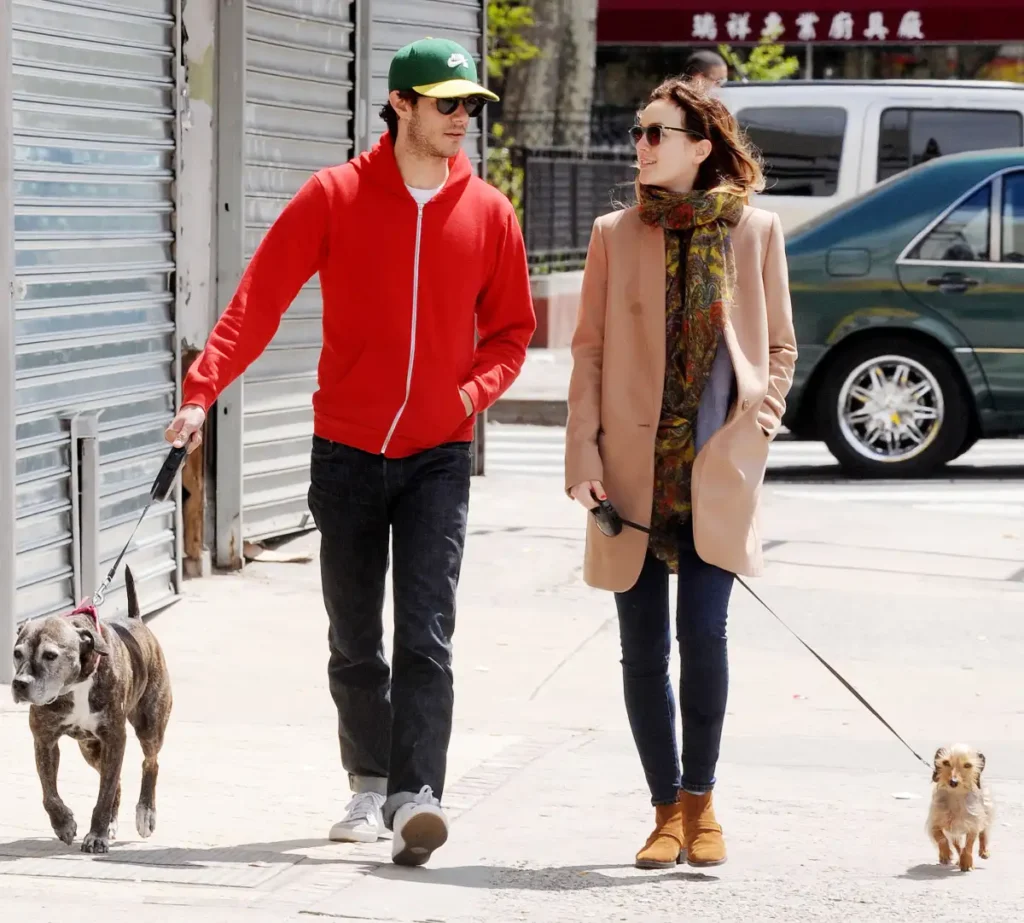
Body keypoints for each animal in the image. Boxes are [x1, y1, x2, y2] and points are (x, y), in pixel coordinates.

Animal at [12, 565, 173, 852]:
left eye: (50, 655)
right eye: (17, 653)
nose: (20, 684)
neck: (76, 683)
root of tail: (136, 620)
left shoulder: (114, 738)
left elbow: (104, 793)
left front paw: (96, 835)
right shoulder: (44, 740)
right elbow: (49, 792)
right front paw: (64, 824)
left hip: (150, 725)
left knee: (150, 763)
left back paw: (145, 813)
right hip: (90, 748)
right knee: (115, 780)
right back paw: (112, 822)